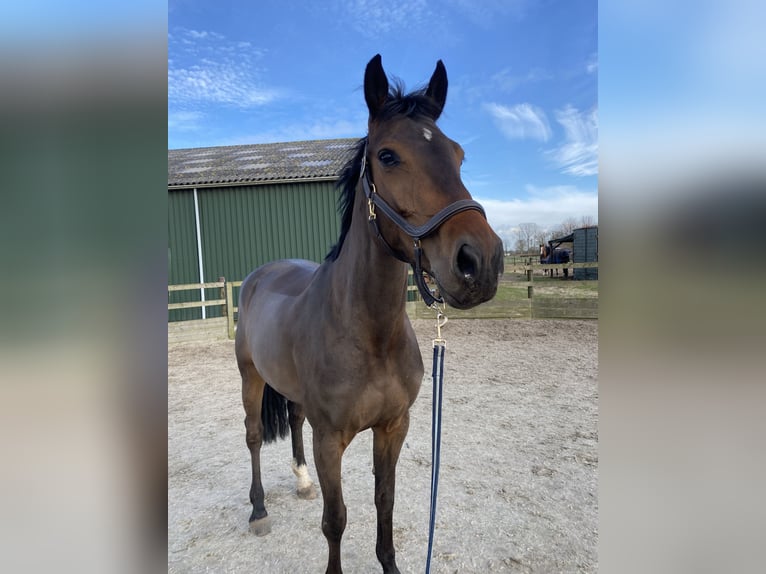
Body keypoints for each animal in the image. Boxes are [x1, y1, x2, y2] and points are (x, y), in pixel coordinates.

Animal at [237, 55, 508, 574]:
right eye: (387, 156)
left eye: (459, 155)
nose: (479, 261)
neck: (370, 334)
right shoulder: (330, 439)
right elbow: (336, 519)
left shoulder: (393, 427)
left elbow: (386, 500)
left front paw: (390, 564)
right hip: (250, 376)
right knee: (255, 436)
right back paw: (258, 509)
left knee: (294, 421)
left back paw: (301, 481)